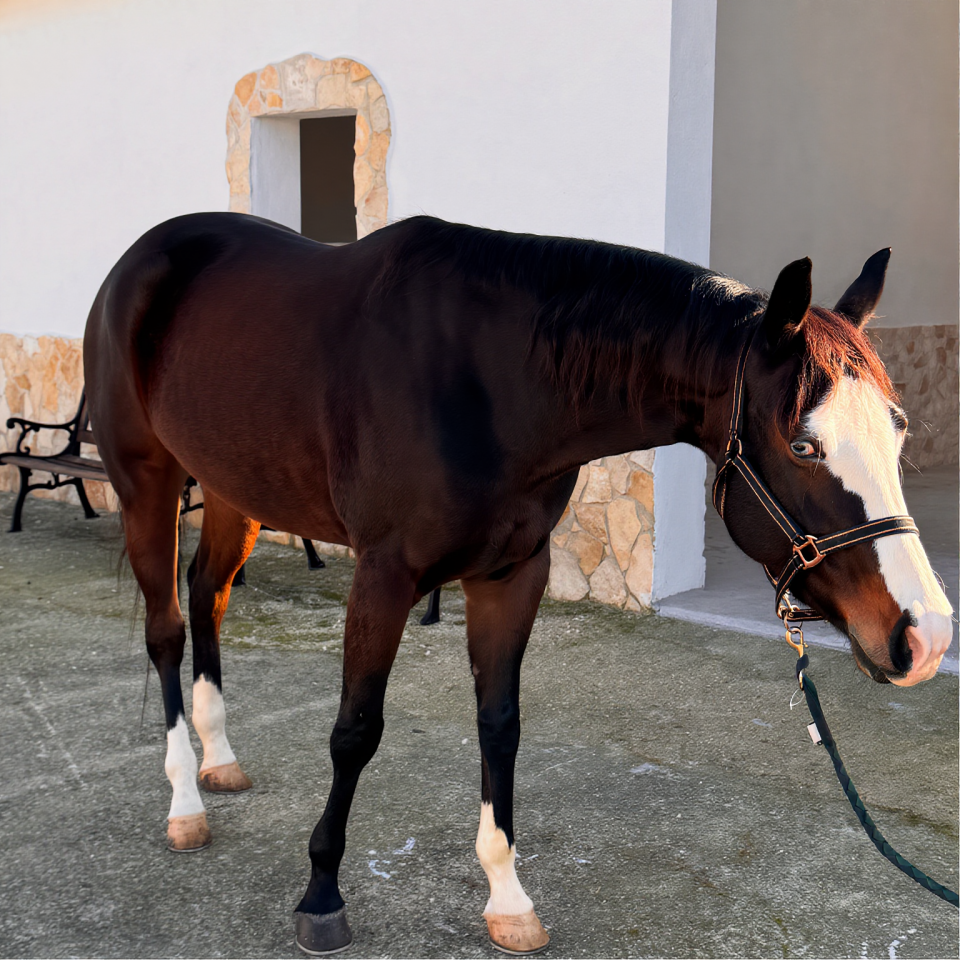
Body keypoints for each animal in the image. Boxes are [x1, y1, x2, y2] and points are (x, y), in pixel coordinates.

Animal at [82, 213, 952, 955]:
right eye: (803, 445)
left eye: (899, 428)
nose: (927, 636)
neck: (491, 382)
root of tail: (144, 256)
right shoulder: (384, 574)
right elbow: (355, 730)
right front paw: (322, 894)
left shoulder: (513, 573)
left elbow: (499, 724)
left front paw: (507, 899)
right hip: (148, 482)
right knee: (167, 628)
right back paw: (184, 803)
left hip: (234, 487)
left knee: (208, 595)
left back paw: (218, 758)